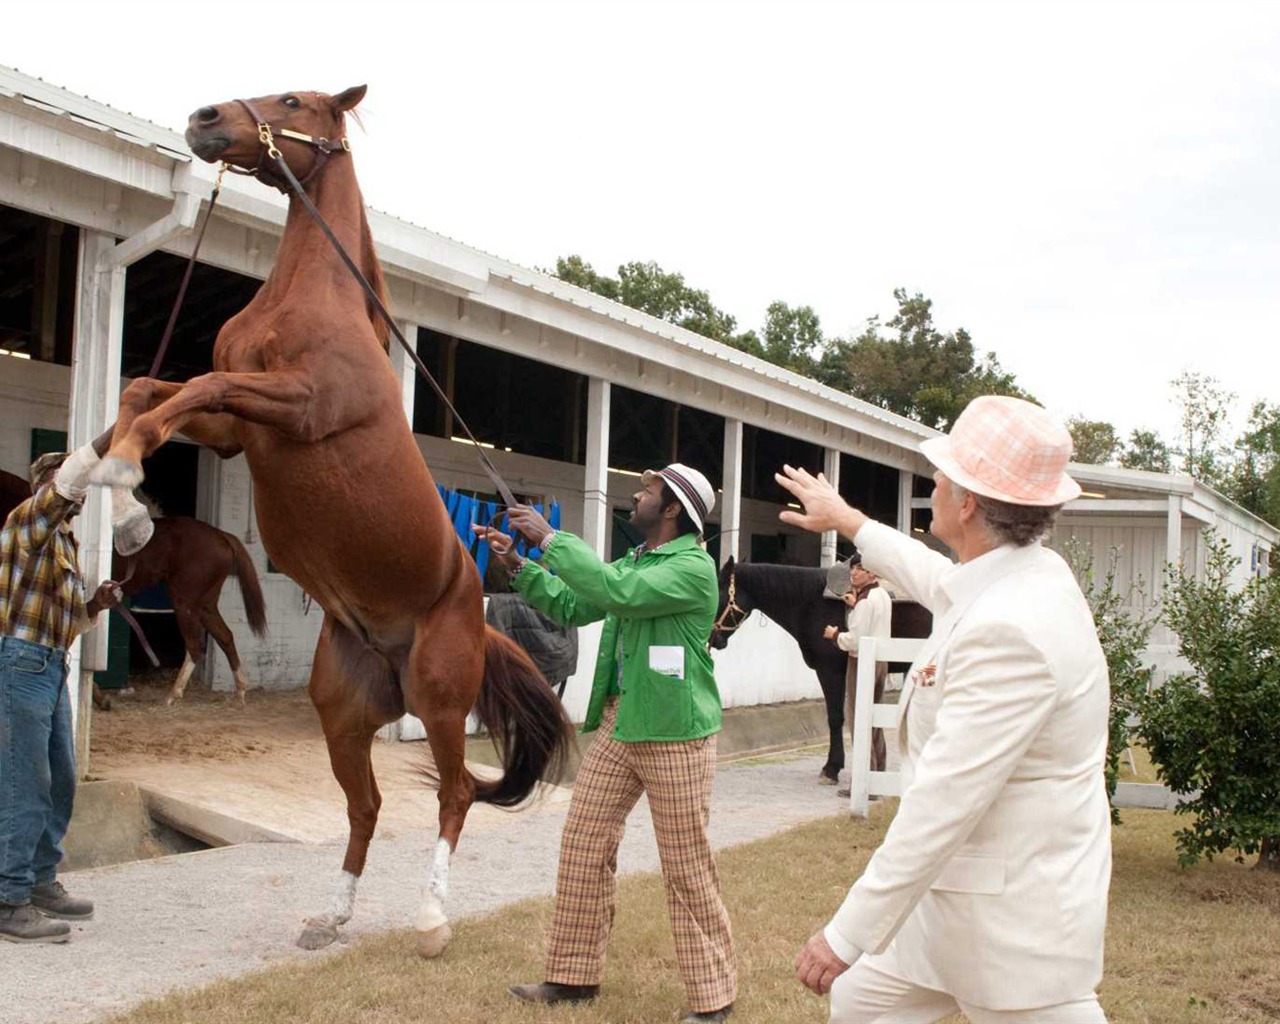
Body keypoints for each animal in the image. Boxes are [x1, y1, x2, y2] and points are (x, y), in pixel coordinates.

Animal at [90, 88, 570, 962]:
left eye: (294, 100)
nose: (206, 119)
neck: (309, 297)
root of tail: (473, 619)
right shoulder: (236, 429)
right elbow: (148, 388)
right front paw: (94, 475)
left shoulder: (296, 403)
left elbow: (192, 386)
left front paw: (128, 493)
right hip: (343, 713)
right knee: (366, 805)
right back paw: (333, 917)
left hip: (440, 699)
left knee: (454, 794)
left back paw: (432, 920)